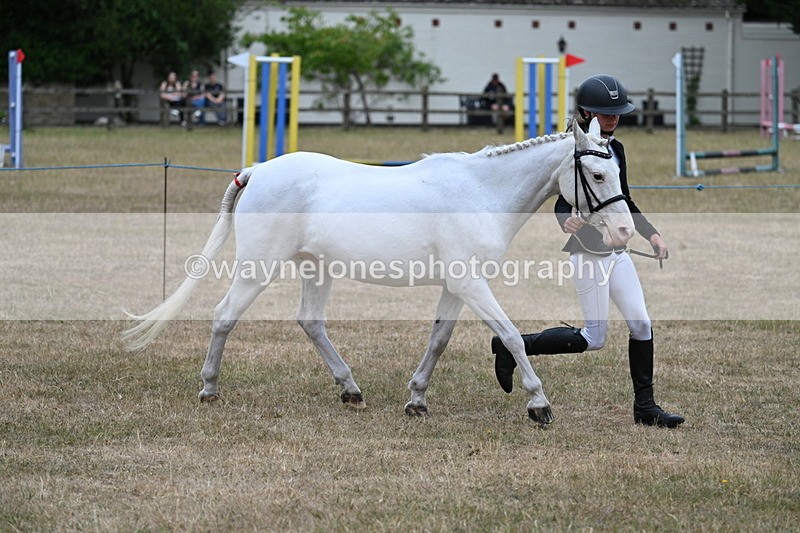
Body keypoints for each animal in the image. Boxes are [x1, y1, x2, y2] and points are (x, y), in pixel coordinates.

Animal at [123, 118, 634, 425]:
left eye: (616, 171)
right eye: (598, 175)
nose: (625, 231)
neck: (481, 193)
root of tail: (257, 170)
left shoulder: (457, 286)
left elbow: (439, 339)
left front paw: (417, 400)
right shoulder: (471, 283)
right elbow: (509, 335)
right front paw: (538, 403)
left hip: (316, 268)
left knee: (310, 322)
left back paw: (350, 390)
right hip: (258, 267)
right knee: (224, 315)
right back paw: (209, 389)